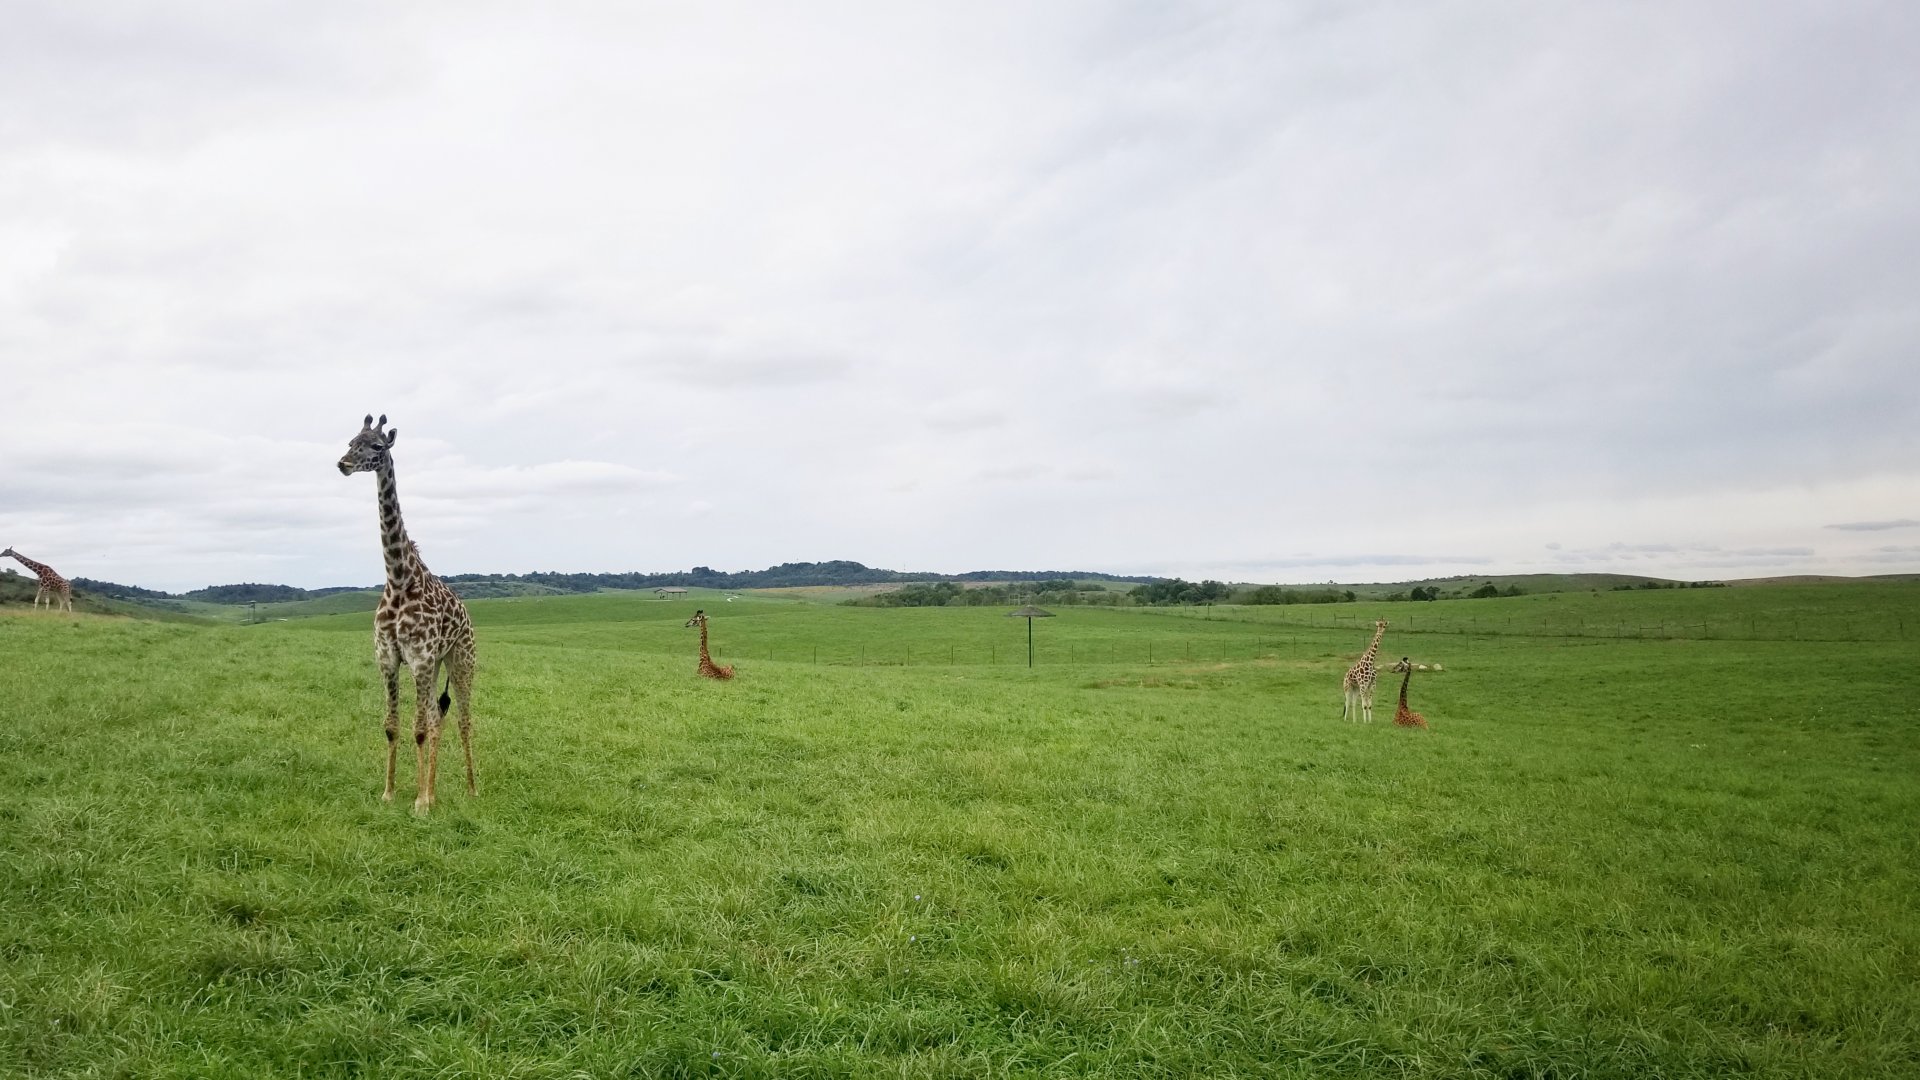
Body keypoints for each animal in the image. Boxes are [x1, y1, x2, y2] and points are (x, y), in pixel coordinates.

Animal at [338, 414, 478, 812]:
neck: (399, 580)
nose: (343, 463)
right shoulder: (388, 658)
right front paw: (391, 793)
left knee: (462, 721)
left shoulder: (419, 659)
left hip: (460, 660)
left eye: (376, 446)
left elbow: (417, 730)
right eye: (351, 441)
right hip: (438, 664)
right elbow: (392, 726)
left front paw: (419, 803)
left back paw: (470, 790)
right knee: (436, 716)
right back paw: (434, 789)